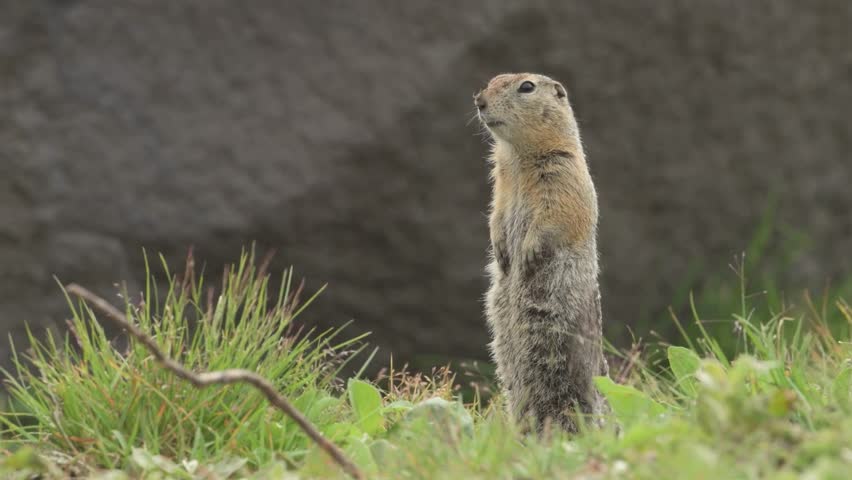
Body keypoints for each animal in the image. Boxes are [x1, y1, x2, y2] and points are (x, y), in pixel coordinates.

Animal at [474, 73, 610, 433]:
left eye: (526, 87)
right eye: (491, 80)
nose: (478, 100)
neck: (517, 156)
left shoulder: (563, 173)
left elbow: (555, 216)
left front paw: (528, 253)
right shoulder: (501, 184)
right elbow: (496, 213)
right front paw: (502, 250)